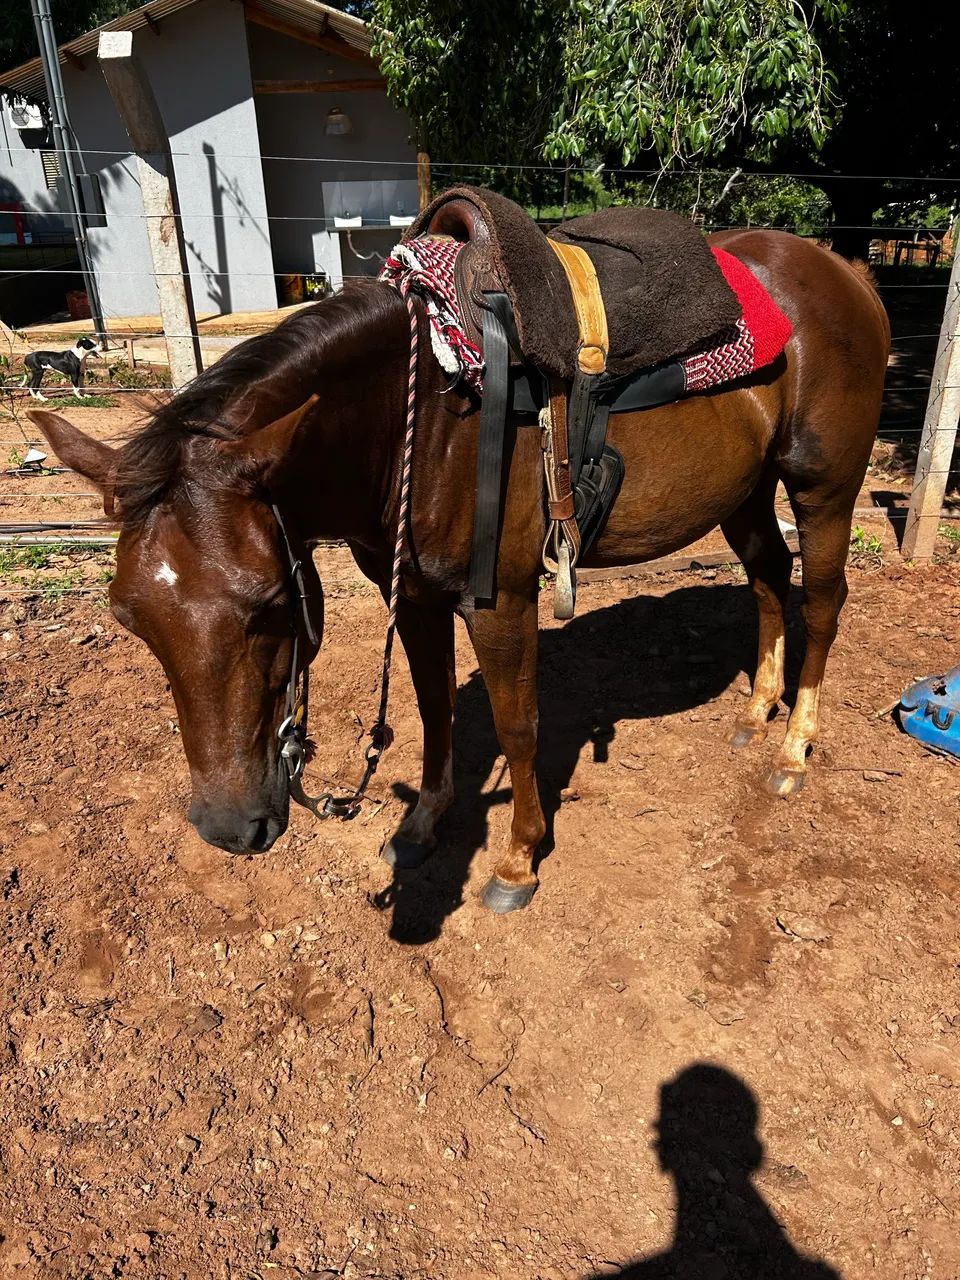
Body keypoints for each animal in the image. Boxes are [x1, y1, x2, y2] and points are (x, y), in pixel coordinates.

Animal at [31, 227, 890, 914]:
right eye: (129, 618)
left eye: (271, 603)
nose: (228, 829)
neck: (421, 416)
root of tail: (847, 272)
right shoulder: (412, 595)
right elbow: (436, 707)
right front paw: (421, 826)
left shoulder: (499, 600)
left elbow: (518, 726)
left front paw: (517, 861)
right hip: (743, 491)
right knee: (768, 576)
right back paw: (757, 711)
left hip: (823, 486)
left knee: (823, 600)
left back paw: (793, 751)